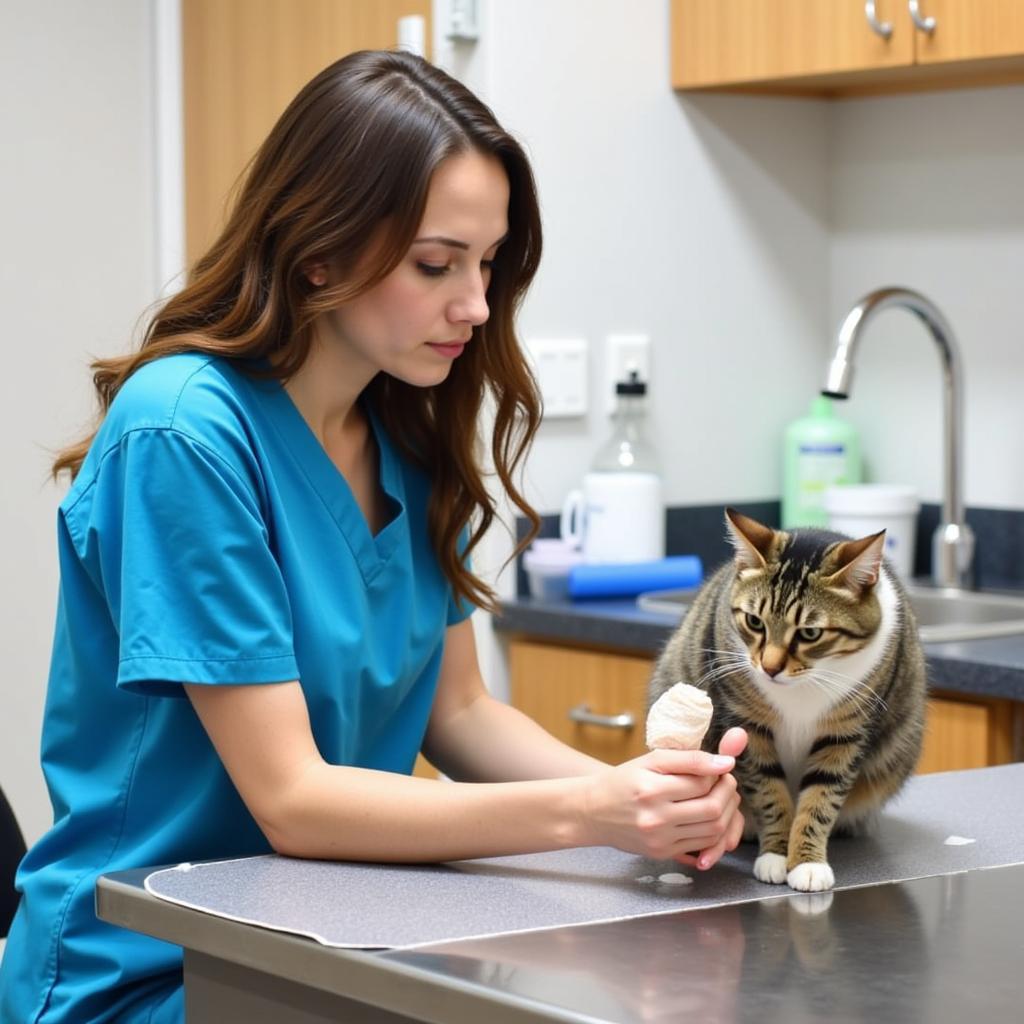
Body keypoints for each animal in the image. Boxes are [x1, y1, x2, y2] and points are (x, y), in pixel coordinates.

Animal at [647, 507, 929, 892]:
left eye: (810, 633)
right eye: (754, 621)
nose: (769, 668)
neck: (802, 684)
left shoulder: (846, 733)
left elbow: (821, 797)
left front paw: (807, 862)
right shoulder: (748, 725)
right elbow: (769, 792)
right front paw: (776, 855)